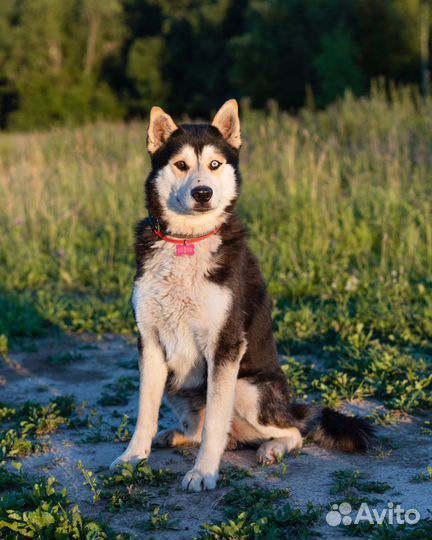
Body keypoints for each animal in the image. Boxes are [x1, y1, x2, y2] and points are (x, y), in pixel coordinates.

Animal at [110, 99, 374, 492]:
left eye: (215, 164)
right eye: (181, 165)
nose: (203, 193)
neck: (188, 242)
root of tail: (289, 405)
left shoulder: (225, 346)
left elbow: (215, 425)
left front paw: (204, 472)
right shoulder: (150, 343)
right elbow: (145, 412)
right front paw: (133, 456)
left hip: (248, 387)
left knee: (292, 432)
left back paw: (271, 449)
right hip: (178, 385)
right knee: (201, 428)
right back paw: (175, 436)